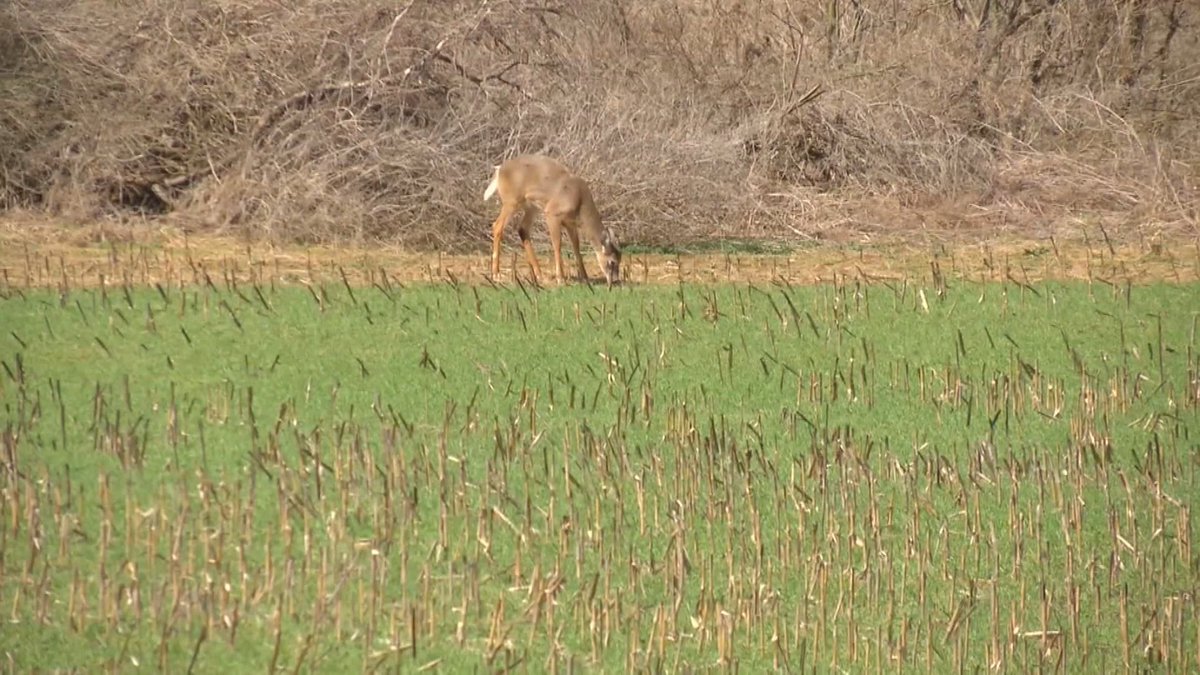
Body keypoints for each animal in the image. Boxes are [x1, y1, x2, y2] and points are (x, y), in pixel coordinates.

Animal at [483, 155, 621, 286]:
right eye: (612, 262)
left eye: (620, 259)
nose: (615, 280)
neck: (579, 202)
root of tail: (499, 170)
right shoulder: (552, 213)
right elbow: (557, 244)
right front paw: (561, 278)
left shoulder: (570, 223)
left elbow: (576, 246)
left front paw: (585, 278)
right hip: (511, 201)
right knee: (497, 226)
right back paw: (496, 275)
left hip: (531, 207)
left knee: (522, 229)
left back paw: (539, 275)